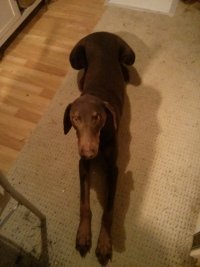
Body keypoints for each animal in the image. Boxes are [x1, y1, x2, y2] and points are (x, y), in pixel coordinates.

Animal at [63, 31, 135, 266]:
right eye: (75, 118)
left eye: (98, 118)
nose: (89, 152)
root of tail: (102, 33)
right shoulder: (83, 165)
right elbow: (84, 204)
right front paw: (83, 235)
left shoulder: (113, 169)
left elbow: (109, 210)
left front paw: (104, 244)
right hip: (75, 58)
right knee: (82, 68)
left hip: (129, 54)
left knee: (125, 64)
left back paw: (125, 74)